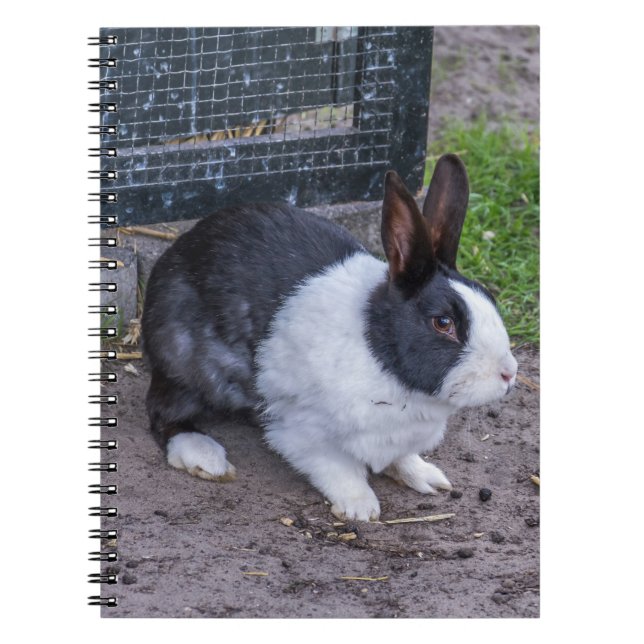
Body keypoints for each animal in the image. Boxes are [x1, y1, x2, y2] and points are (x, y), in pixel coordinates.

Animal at [141, 153, 518, 522]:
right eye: (443, 323)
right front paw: (360, 507)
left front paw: (426, 476)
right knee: (163, 413)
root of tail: (178, 252)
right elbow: (337, 468)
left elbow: (401, 458)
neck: (381, 354)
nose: (508, 374)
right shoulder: (302, 429)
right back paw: (205, 456)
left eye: (489, 298)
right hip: (182, 360)